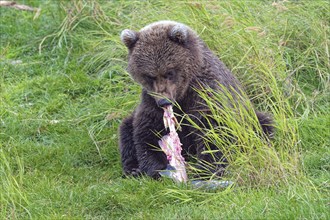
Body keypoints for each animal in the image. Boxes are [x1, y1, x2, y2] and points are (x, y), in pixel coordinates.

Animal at [118, 20, 274, 179]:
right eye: (150, 75)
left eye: (169, 72)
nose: (164, 101)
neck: (183, 93)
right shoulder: (151, 100)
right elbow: (146, 130)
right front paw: (156, 167)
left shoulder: (206, 91)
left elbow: (212, 127)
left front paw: (207, 169)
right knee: (126, 127)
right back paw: (133, 168)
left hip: (248, 116)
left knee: (264, 124)